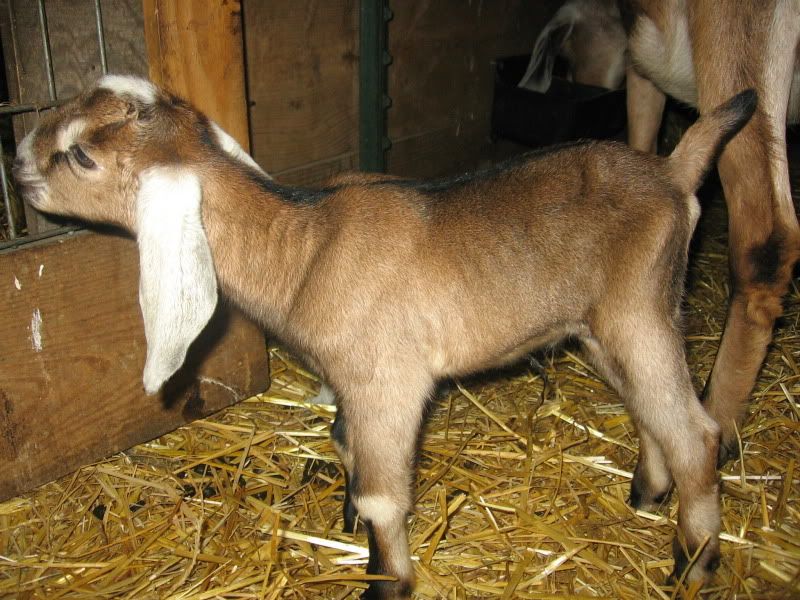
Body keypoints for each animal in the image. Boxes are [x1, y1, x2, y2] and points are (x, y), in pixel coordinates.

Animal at [13, 75, 755, 598]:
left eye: (81, 154)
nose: (17, 161)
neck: (302, 247)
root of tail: (671, 173)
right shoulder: (349, 382)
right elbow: (344, 444)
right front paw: (349, 527)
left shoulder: (386, 381)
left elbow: (382, 492)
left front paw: (386, 581)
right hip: (603, 326)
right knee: (650, 409)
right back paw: (648, 494)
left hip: (640, 311)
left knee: (697, 431)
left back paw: (693, 563)